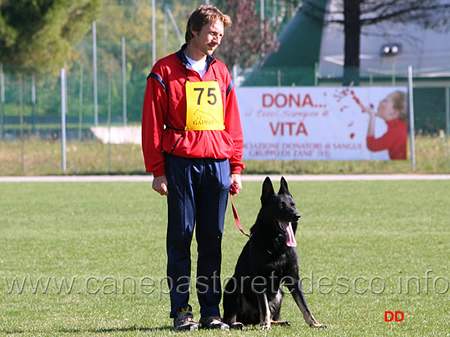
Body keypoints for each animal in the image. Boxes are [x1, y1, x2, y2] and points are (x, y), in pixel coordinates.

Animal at [222, 177, 326, 330]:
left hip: (279, 294)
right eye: (281, 205)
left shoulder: (294, 279)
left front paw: (315, 323)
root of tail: (250, 320)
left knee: (268, 316)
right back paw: (240, 323)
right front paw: (265, 325)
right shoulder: (259, 280)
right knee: (231, 319)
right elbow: (264, 306)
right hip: (233, 287)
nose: (297, 216)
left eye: (293, 205)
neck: (277, 242)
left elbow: (304, 305)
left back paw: (278, 322)